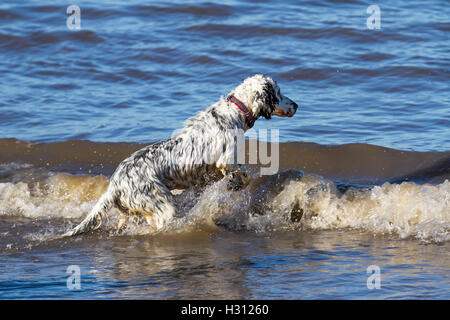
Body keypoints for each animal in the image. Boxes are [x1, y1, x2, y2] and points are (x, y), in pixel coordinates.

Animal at [64, 74, 298, 236]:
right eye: (278, 92)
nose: (296, 104)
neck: (235, 112)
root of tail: (115, 185)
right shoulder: (226, 160)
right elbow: (246, 173)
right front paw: (237, 184)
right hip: (163, 207)